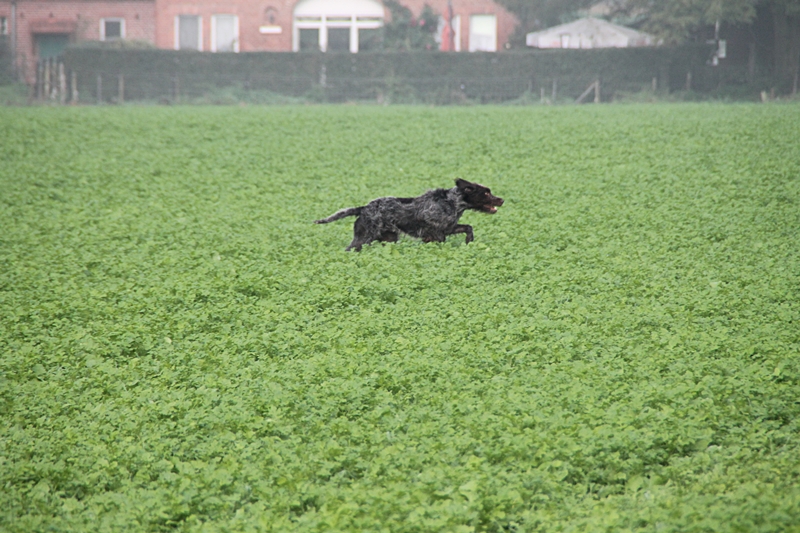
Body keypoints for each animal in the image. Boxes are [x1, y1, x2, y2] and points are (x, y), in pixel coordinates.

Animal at [316, 179, 504, 251]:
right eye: (486, 193)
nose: (501, 200)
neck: (452, 202)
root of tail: (363, 208)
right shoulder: (437, 233)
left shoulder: (447, 227)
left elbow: (468, 228)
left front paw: (469, 242)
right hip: (364, 238)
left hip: (389, 238)